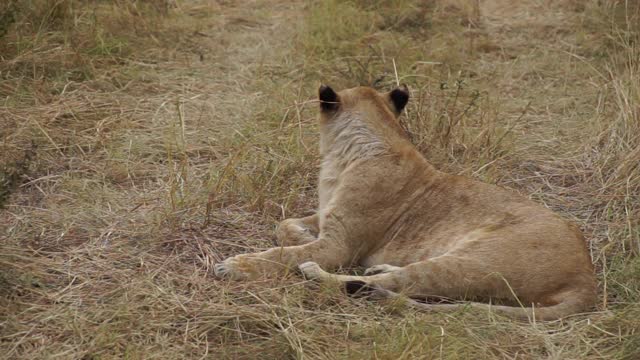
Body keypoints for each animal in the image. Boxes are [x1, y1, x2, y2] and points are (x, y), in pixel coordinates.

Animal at [214, 84, 596, 320]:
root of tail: (586, 276)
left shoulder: (339, 246)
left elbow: (281, 255)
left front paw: (236, 266)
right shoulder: (325, 217)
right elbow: (284, 225)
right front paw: (300, 236)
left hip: (472, 261)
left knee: (395, 284)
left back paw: (320, 274)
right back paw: (377, 269)